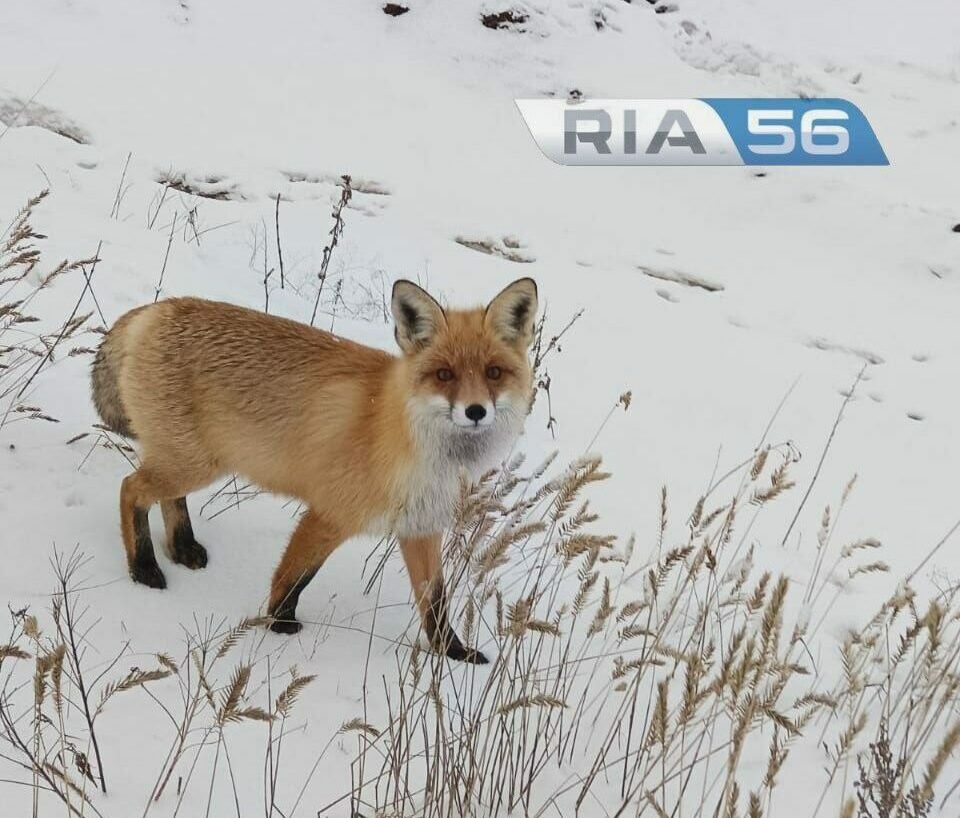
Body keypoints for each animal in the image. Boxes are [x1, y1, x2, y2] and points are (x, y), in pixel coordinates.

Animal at [91, 278, 536, 660]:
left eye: (494, 372)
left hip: (189, 459)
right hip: (194, 464)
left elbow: (436, 604)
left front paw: (453, 655)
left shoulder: (420, 527)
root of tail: (157, 308)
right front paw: (280, 626)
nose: (475, 411)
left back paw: (182, 547)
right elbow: (294, 577)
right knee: (130, 488)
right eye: (444, 374)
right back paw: (143, 567)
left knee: (166, 497)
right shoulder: (328, 514)